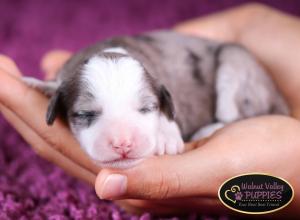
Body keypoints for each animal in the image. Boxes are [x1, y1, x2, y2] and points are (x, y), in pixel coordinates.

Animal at [24, 30, 290, 169]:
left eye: (147, 108)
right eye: (85, 114)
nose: (123, 144)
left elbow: (169, 112)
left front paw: (166, 137)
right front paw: (38, 84)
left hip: (236, 65)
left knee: (235, 115)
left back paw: (208, 130)